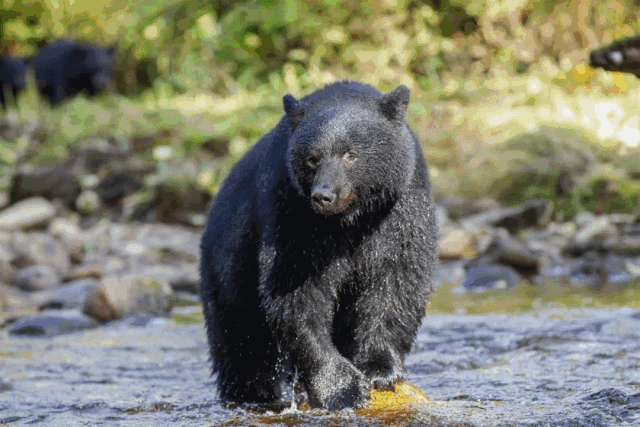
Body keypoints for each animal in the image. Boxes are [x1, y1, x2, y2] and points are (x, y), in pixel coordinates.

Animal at [199, 81, 437, 410]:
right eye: (312, 158)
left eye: (351, 155)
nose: (323, 196)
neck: (350, 220)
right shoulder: (292, 213)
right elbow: (296, 289)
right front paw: (341, 388)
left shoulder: (400, 207)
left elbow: (397, 278)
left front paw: (380, 369)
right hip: (228, 273)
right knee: (243, 350)